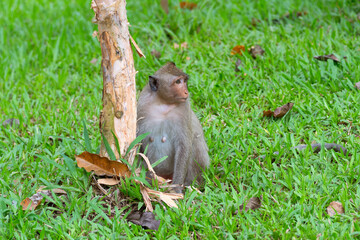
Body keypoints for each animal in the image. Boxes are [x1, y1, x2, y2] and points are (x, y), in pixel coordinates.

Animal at [136, 62, 210, 190]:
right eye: (178, 82)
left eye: (184, 81)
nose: (186, 92)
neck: (162, 104)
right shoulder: (141, 106)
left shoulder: (184, 109)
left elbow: (184, 146)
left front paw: (176, 189)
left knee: (194, 143)